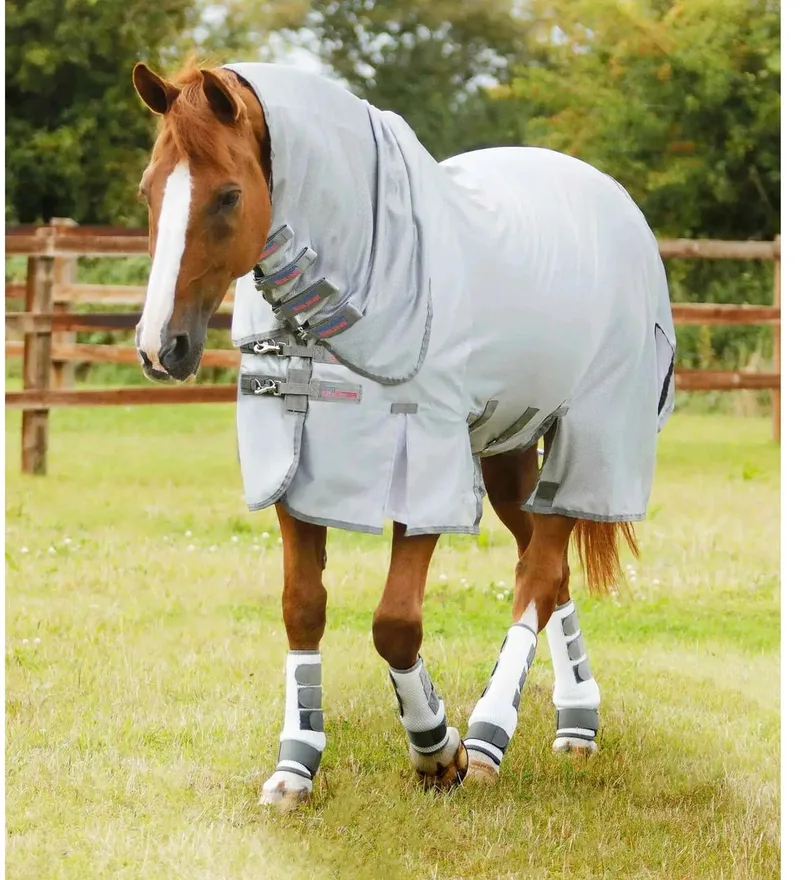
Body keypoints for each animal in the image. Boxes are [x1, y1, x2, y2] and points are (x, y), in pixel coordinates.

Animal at [131, 60, 676, 809]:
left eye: (229, 195)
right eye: (149, 190)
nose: (161, 348)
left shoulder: (424, 466)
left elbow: (394, 624)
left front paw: (437, 751)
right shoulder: (296, 465)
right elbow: (302, 607)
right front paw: (296, 764)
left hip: (589, 441)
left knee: (540, 570)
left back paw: (488, 738)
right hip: (509, 449)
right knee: (548, 568)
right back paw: (576, 722)